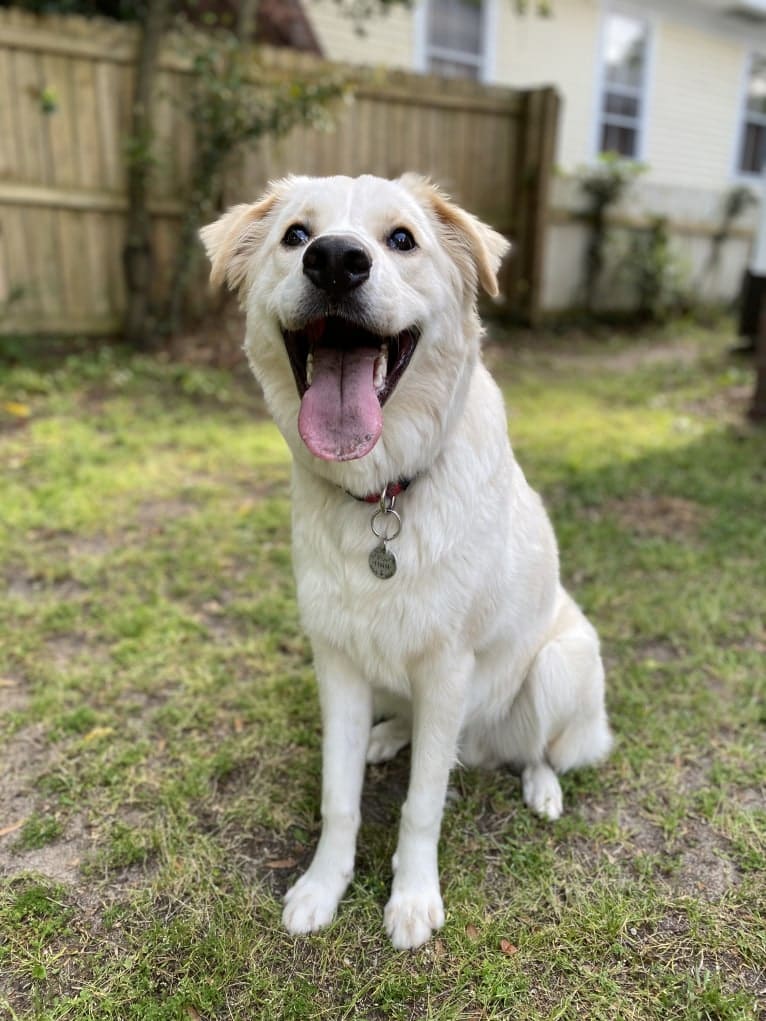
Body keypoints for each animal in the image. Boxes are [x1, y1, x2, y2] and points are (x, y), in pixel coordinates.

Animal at [201, 173, 616, 947]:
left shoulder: (448, 667)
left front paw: (413, 898)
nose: (336, 261)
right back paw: (389, 735)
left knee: (536, 748)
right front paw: (322, 887)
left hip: (556, 663)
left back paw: (541, 786)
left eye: (402, 239)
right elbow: (339, 799)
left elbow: (422, 805)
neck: (383, 494)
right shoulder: (336, 660)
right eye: (296, 235)